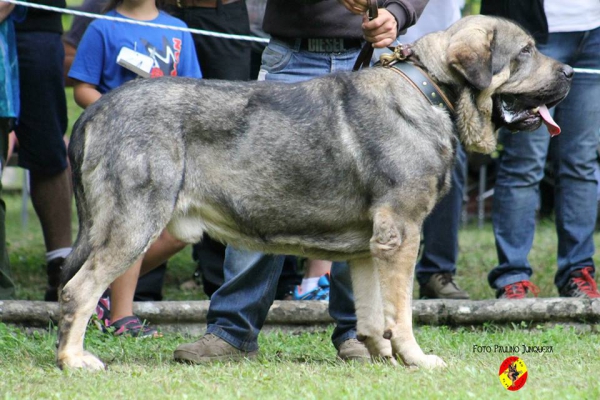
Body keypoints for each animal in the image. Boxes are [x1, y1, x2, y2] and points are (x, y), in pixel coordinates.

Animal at [57, 15, 572, 372]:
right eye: (526, 50)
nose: (569, 70)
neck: (429, 91)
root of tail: (96, 111)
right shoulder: (403, 234)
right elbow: (402, 312)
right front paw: (416, 359)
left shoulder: (371, 246)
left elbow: (371, 314)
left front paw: (380, 356)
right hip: (134, 223)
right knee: (78, 290)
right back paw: (74, 360)